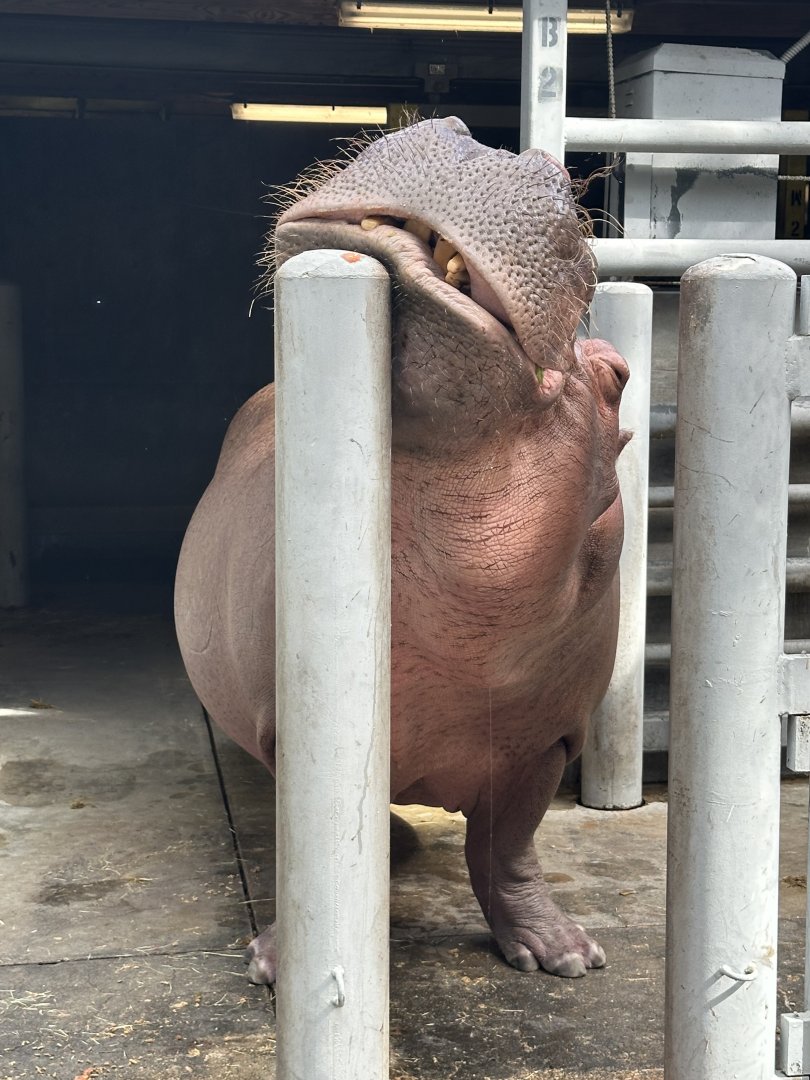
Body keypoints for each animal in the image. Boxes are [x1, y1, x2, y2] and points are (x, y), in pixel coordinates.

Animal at [174, 116, 629, 982]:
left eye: (619, 375)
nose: (491, 147)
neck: (467, 626)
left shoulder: (549, 737)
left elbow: (508, 847)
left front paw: (566, 955)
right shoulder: (291, 724)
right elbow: (306, 829)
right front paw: (278, 966)